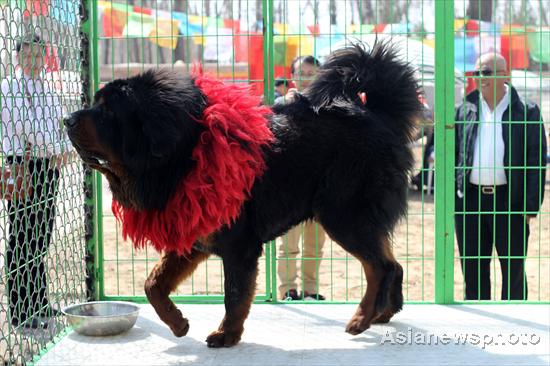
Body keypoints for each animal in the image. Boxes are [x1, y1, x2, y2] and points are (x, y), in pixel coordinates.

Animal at [67, 42, 424, 346]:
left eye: (108, 111)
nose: (67, 118)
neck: (187, 155)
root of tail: (378, 116)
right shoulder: (193, 236)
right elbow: (153, 284)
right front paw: (178, 323)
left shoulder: (239, 247)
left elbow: (234, 295)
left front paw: (227, 335)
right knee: (394, 264)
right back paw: (383, 314)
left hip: (344, 216)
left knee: (380, 267)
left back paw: (362, 319)